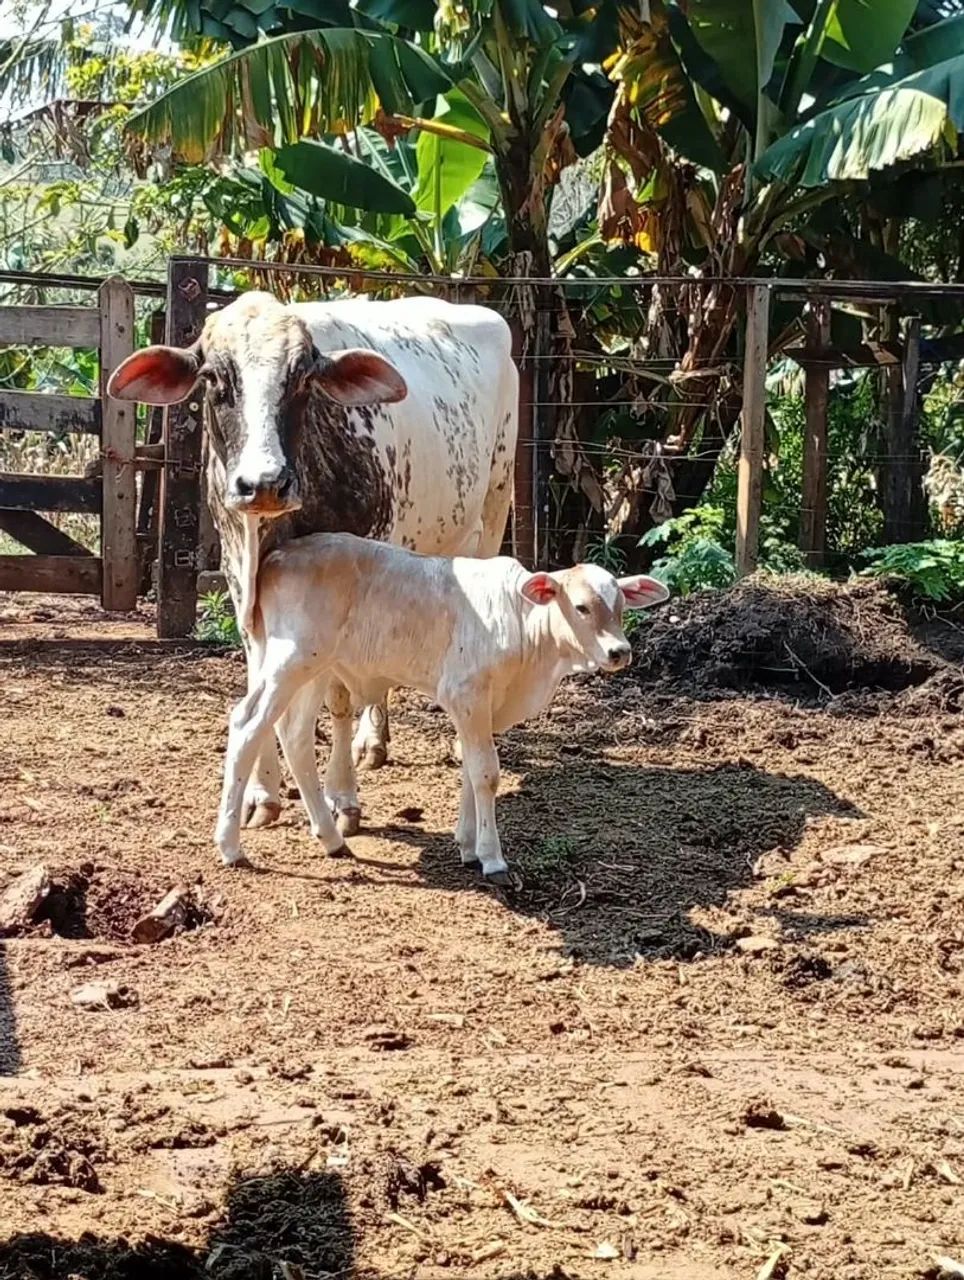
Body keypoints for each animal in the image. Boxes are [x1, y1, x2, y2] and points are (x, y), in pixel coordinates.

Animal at [107, 290, 518, 837]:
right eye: (214, 378)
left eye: (303, 378)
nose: (264, 482)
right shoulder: (242, 582)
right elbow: (261, 684)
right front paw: (262, 794)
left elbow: (339, 696)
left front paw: (342, 798)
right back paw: (373, 740)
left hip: (492, 511)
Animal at [214, 532, 670, 881]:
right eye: (580, 606)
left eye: (621, 607)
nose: (619, 652)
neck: (524, 626)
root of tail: (278, 556)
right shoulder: (465, 694)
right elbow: (486, 772)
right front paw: (492, 858)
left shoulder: (482, 707)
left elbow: (470, 767)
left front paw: (467, 845)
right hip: (289, 661)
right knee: (248, 725)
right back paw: (231, 847)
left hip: (316, 669)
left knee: (294, 736)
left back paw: (331, 838)